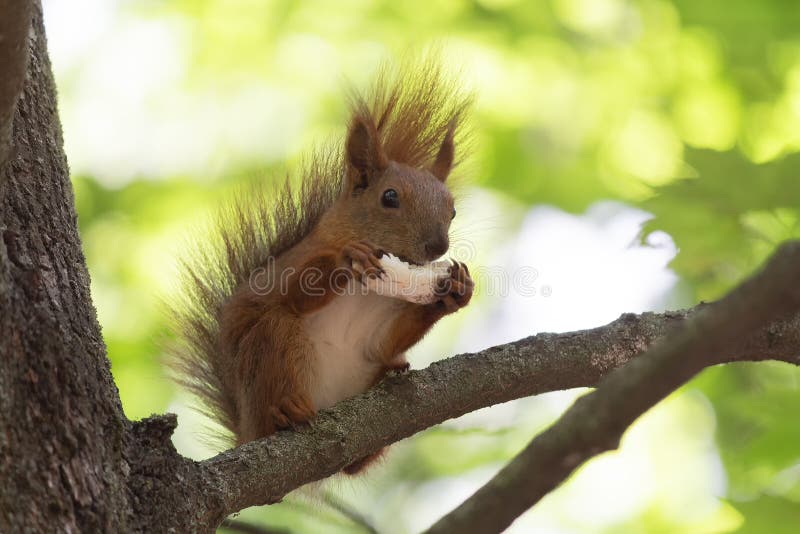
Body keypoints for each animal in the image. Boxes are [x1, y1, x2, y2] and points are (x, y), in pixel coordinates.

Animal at [169, 60, 474, 473]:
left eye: (452, 210)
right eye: (389, 197)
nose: (437, 246)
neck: (365, 290)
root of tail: (246, 430)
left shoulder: (380, 328)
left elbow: (384, 342)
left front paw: (457, 289)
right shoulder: (291, 271)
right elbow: (296, 294)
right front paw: (347, 258)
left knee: (355, 462)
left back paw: (389, 377)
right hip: (273, 347)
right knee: (278, 334)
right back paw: (286, 412)